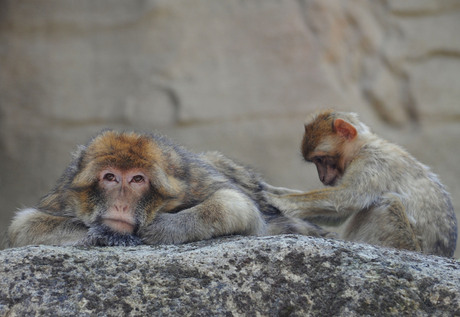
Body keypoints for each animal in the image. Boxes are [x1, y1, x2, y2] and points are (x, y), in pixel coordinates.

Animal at [7, 130, 330, 246]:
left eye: (137, 179)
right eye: (110, 177)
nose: (120, 204)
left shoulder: (193, 182)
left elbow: (237, 205)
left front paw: (165, 228)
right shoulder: (64, 196)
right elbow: (24, 226)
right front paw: (105, 234)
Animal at [268, 110, 458, 256]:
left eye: (320, 159)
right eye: (315, 162)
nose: (322, 177)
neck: (363, 145)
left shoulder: (372, 162)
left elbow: (348, 198)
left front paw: (276, 200)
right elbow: (339, 213)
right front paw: (270, 189)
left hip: (404, 242)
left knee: (387, 203)